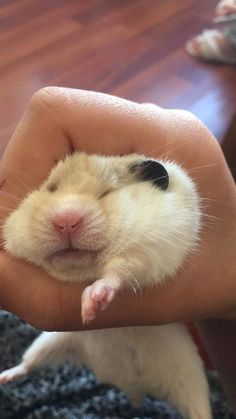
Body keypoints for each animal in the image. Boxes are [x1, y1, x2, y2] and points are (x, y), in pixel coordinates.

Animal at [0, 153, 211, 419]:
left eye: (105, 193)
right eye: (51, 189)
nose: (66, 222)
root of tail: (133, 388)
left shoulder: (147, 252)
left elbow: (116, 273)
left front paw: (91, 305)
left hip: (190, 377)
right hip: (50, 343)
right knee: (27, 364)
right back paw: (4, 377)